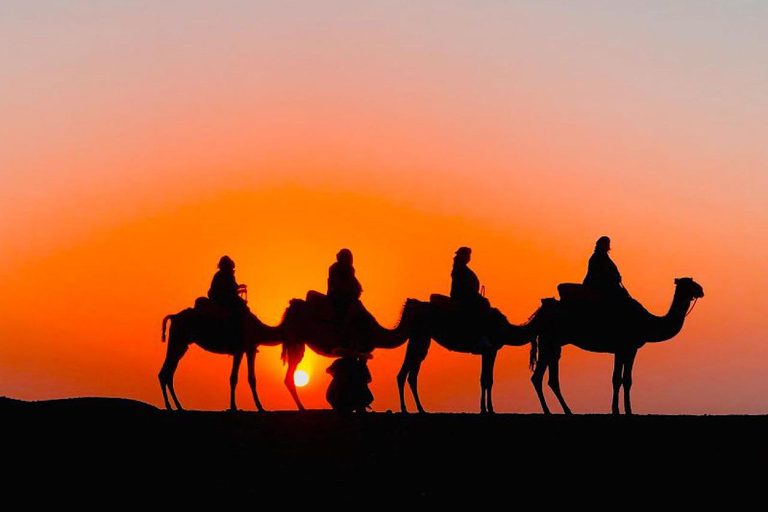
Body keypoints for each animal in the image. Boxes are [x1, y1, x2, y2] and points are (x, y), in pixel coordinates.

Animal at [278, 294, 416, 410]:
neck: (377, 332)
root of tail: (290, 309)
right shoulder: (362, 347)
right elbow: (358, 372)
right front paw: (359, 405)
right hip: (296, 338)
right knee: (290, 375)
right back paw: (302, 408)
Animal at [532, 276, 704, 416]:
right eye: (689, 283)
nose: (701, 290)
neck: (648, 322)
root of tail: (541, 311)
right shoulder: (624, 347)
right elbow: (618, 379)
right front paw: (618, 410)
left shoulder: (628, 349)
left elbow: (625, 380)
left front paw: (626, 410)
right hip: (548, 340)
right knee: (538, 377)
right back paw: (550, 412)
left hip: (552, 342)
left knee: (548, 378)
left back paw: (565, 411)